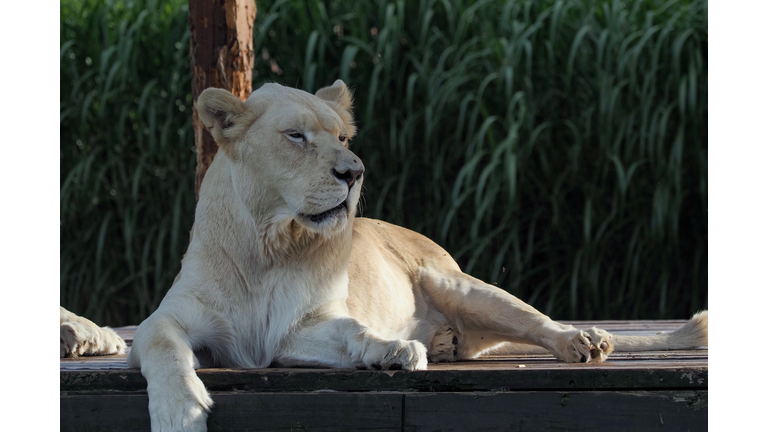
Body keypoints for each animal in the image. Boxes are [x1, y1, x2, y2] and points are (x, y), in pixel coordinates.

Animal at [122, 80, 707, 431]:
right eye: (296, 136)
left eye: (342, 137)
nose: (354, 172)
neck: (272, 243)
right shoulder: (182, 322)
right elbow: (165, 347)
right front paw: (179, 411)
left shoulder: (304, 324)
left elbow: (352, 330)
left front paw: (393, 349)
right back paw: (446, 342)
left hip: (463, 286)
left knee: (539, 322)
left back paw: (582, 341)